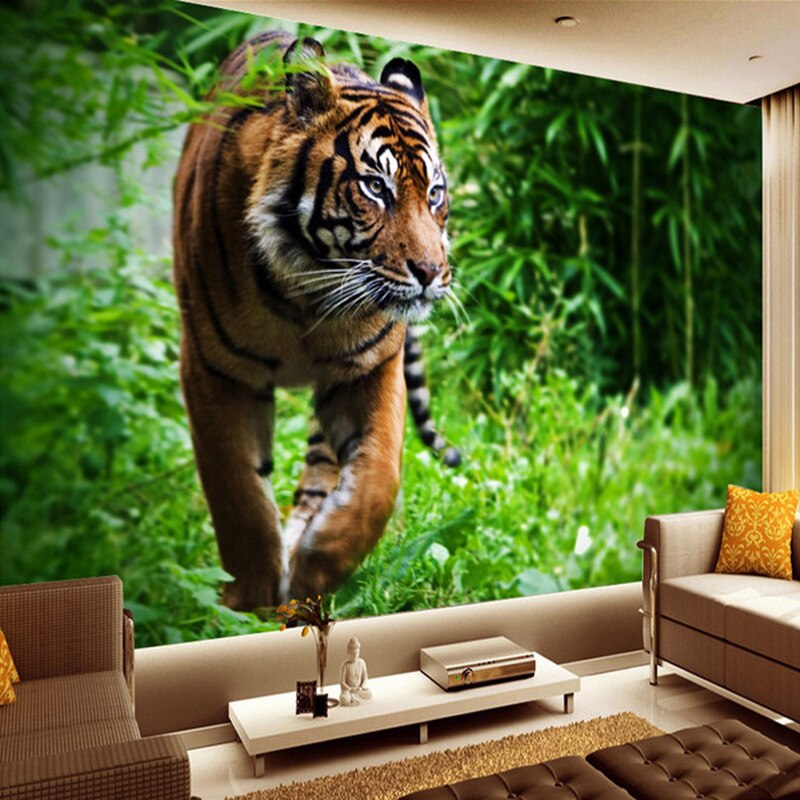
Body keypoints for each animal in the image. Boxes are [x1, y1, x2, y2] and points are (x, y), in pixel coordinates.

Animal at [173, 31, 459, 611]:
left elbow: (377, 481)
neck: (307, 295)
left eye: (434, 193)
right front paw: (250, 598)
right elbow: (235, 489)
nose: (431, 273)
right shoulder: (214, 371)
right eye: (376, 188)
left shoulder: (370, 368)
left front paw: (316, 571)